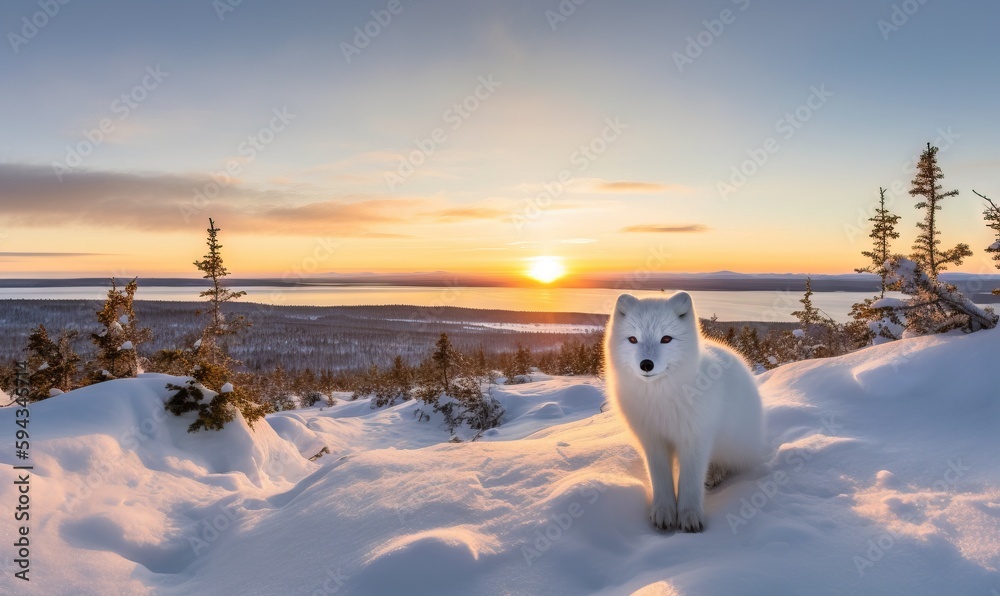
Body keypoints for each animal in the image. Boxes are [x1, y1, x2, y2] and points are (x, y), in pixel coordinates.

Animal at [600, 292, 764, 532]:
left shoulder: (696, 437)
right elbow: (659, 478)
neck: (661, 398)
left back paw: (714, 475)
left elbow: (691, 481)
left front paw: (689, 517)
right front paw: (664, 513)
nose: (646, 364)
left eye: (666, 339)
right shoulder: (652, 440)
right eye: (632, 339)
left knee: (727, 464)